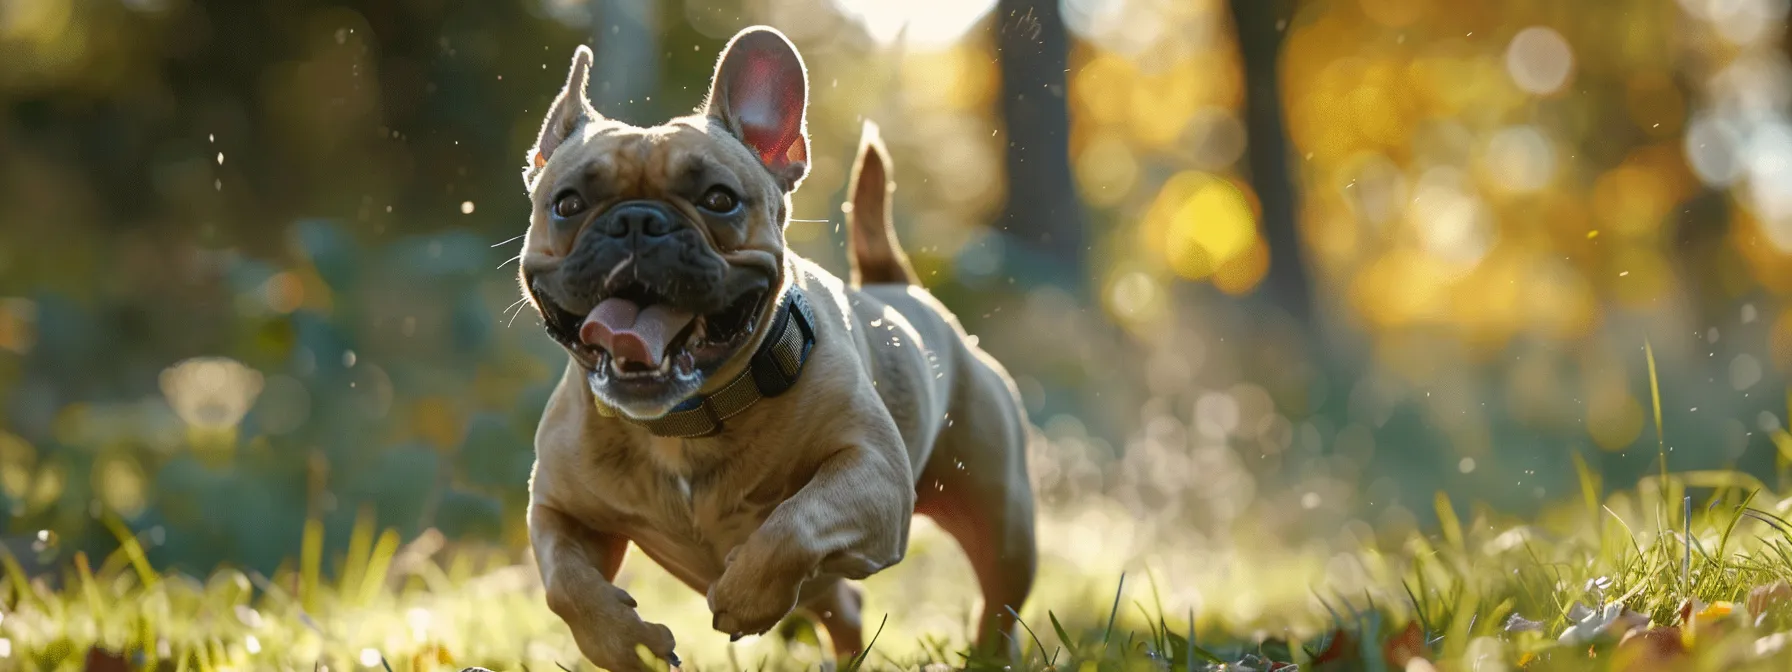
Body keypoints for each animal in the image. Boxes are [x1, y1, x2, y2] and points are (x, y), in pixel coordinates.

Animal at [512, 24, 1039, 670]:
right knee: (843, 608)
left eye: (719, 199)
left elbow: (795, 522)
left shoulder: (874, 474)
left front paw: (745, 595)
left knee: (997, 602)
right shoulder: (557, 511)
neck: (684, 420)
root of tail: (898, 286)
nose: (637, 221)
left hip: (1003, 519)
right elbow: (565, 583)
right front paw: (624, 644)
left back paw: (989, 651)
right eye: (566, 204)